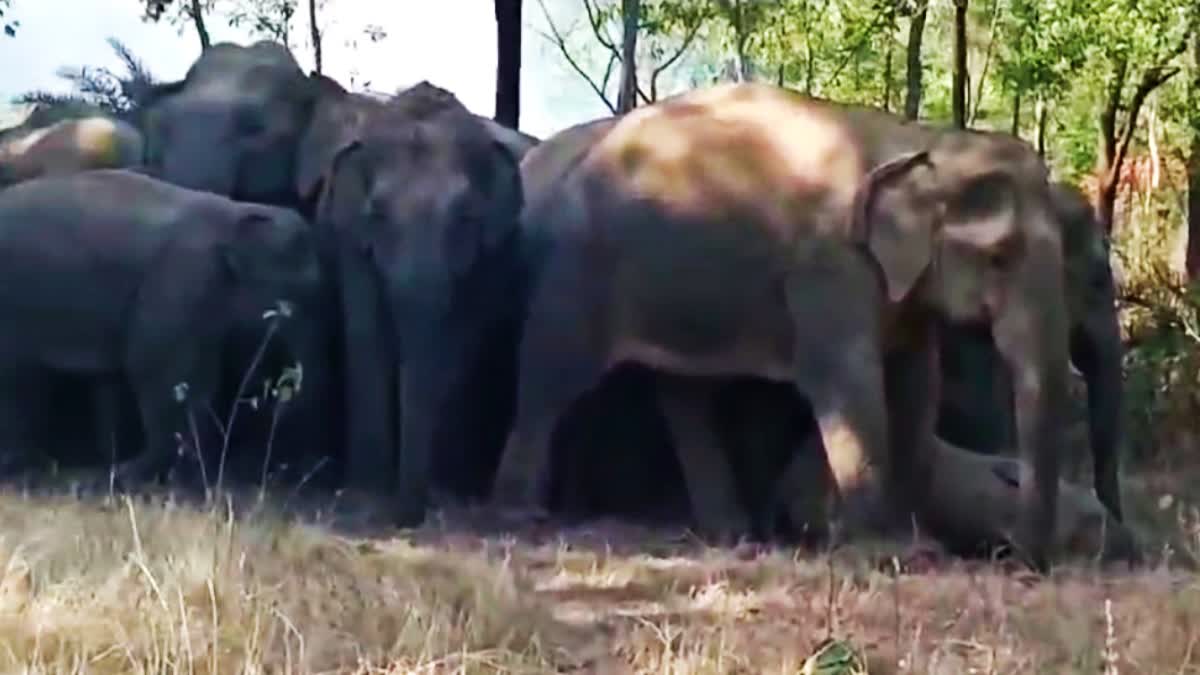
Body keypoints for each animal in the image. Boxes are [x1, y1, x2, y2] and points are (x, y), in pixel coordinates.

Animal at [0, 169, 322, 490]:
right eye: (299, 296)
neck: (237, 214)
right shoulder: (179, 284)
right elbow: (159, 370)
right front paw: (131, 475)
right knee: (19, 379)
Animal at [490, 82, 1071, 570]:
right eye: (999, 258)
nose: (1018, 560)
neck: (923, 140)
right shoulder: (829, 266)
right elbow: (848, 381)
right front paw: (889, 553)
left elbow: (915, 386)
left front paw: (915, 545)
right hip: (578, 267)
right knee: (552, 377)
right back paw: (521, 516)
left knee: (683, 395)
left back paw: (732, 535)